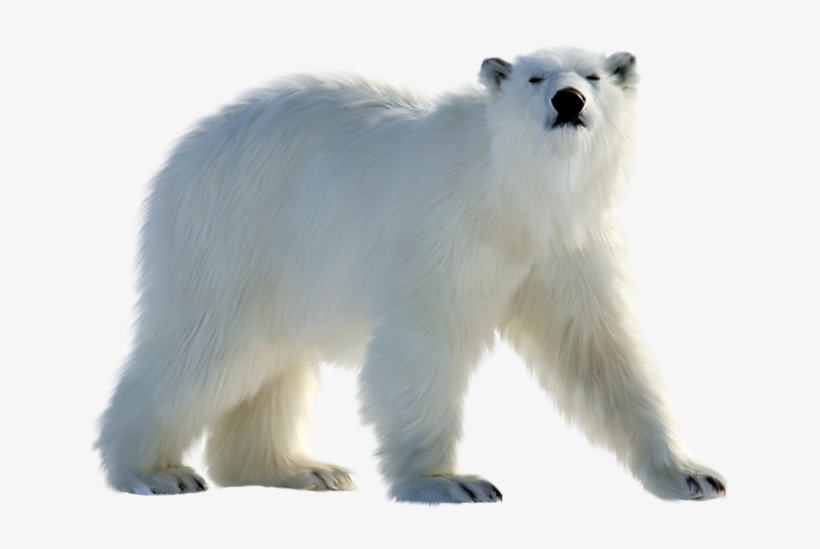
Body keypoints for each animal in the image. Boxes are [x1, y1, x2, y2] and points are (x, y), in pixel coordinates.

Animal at [96, 47, 726, 503]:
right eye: (534, 76)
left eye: (594, 76)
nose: (568, 99)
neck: (512, 195)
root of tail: (184, 149)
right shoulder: (445, 234)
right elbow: (424, 341)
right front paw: (448, 482)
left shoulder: (568, 248)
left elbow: (600, 349)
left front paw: (690, 474)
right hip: (235, 233)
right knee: (207, 344)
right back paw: (155, 472)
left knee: (269, 363)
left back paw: (304, 470)